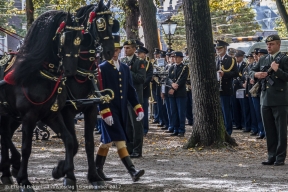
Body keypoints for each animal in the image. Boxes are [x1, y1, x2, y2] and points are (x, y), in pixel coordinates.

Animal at [0, 10, 83, 190]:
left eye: (80, 38)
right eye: (65, 38)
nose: (71, 70)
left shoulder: (51, 115)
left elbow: (69, 139)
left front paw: (65, 173)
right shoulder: (29, 116)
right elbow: (26, 147)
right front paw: (24, 180)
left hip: (10, 115)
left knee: (5, 135)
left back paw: (8, 171)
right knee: (5, 136)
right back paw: (13, 166)